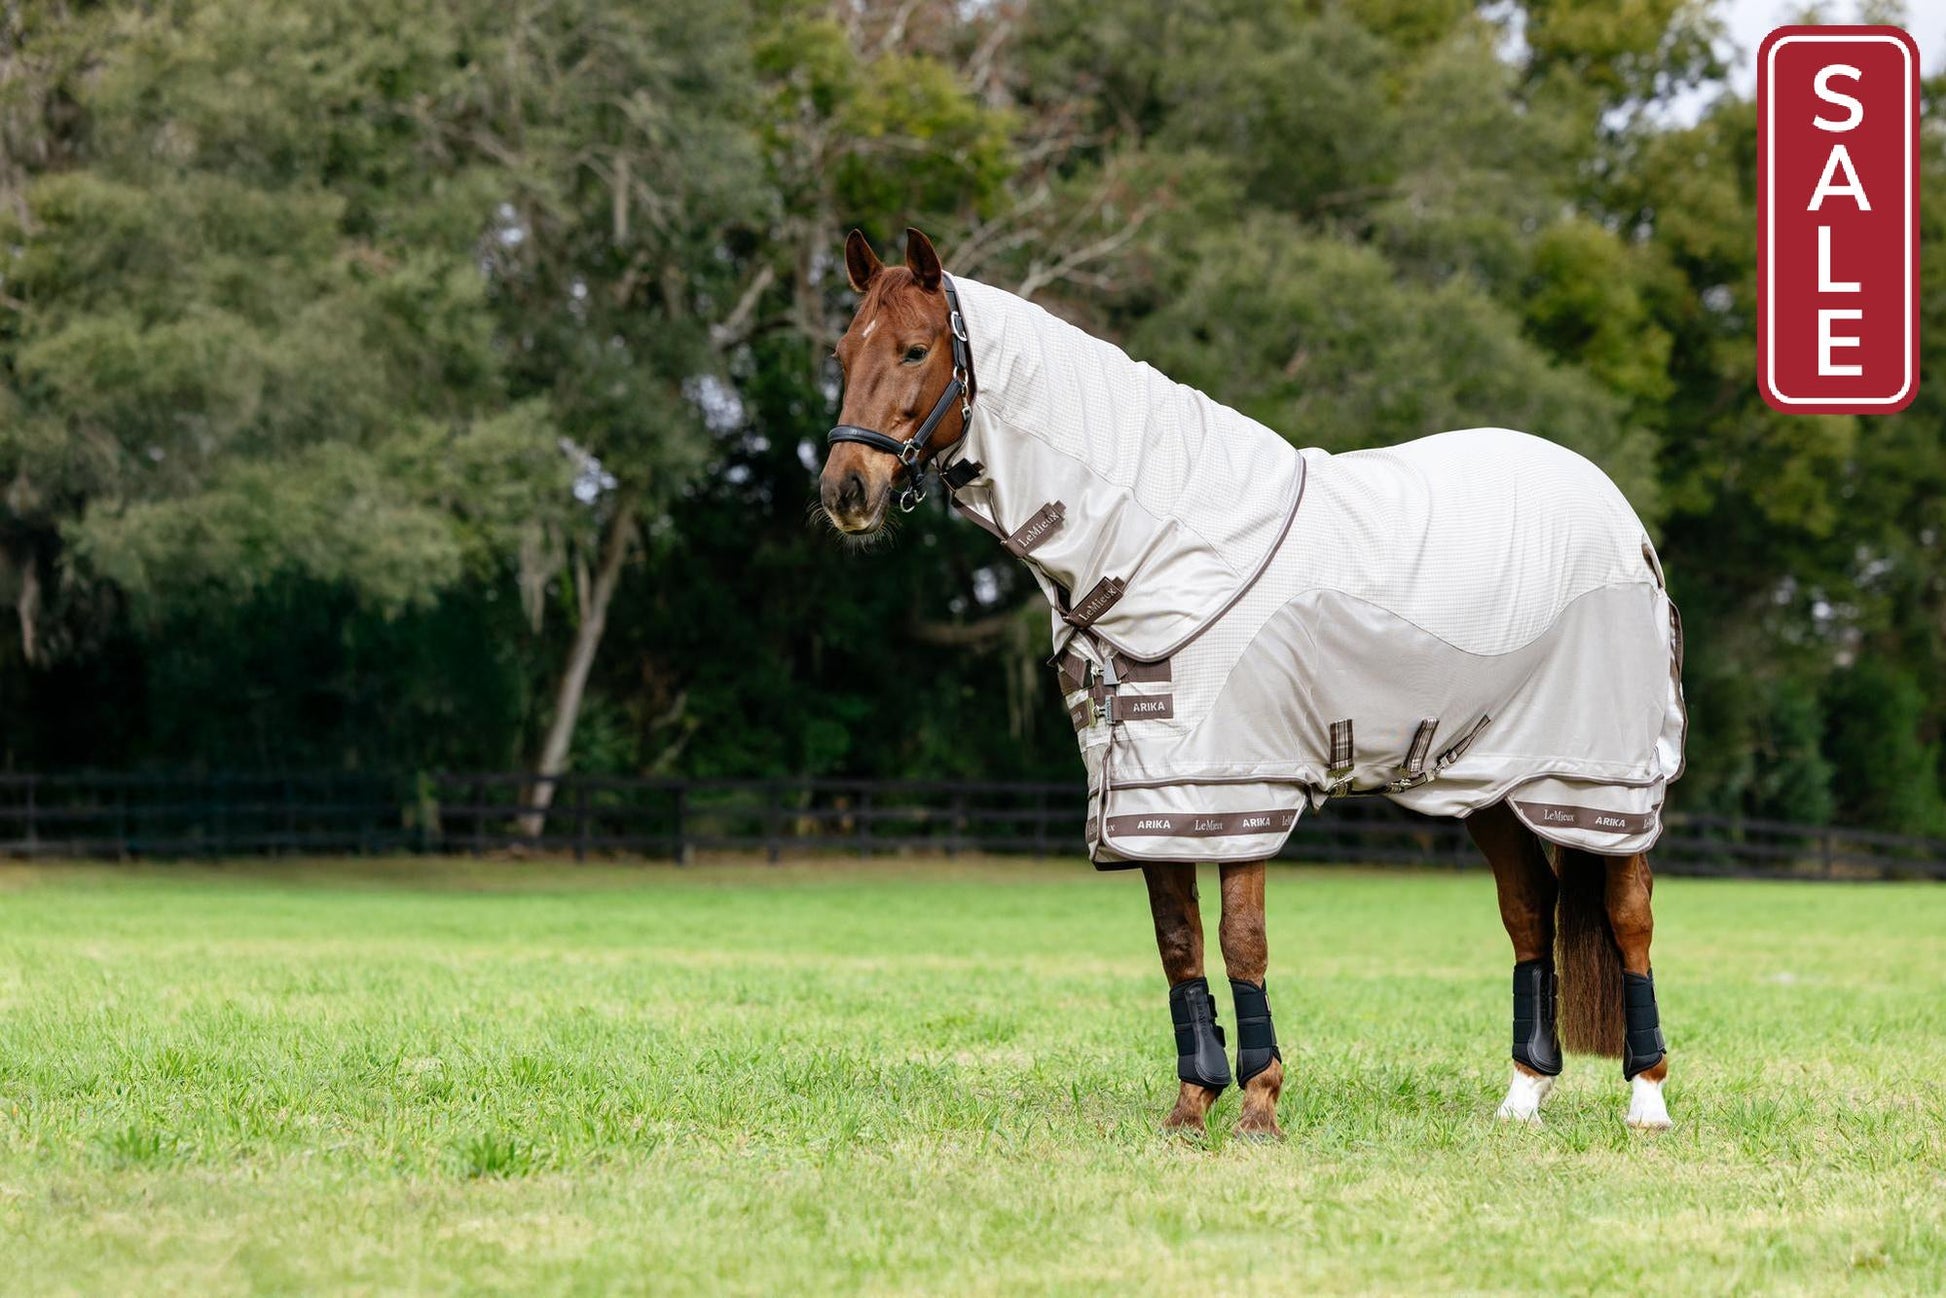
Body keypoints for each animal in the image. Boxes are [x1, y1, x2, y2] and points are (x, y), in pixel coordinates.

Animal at [819, 227, 1684, 1139]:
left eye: (916, 350)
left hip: (1600, 778)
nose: (845, 491)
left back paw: (1647, 1099)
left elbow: (1241, 940)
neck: (1163, 540)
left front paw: (1260, 1105)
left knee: (1629, 915)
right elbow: (1178, 944)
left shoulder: (1238, 785)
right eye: (842, 351)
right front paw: (1191, 1104)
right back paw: (1522, 1094)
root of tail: (1620, 518)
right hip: (1489, 780)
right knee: (1529, 910)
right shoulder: (1153, 796)